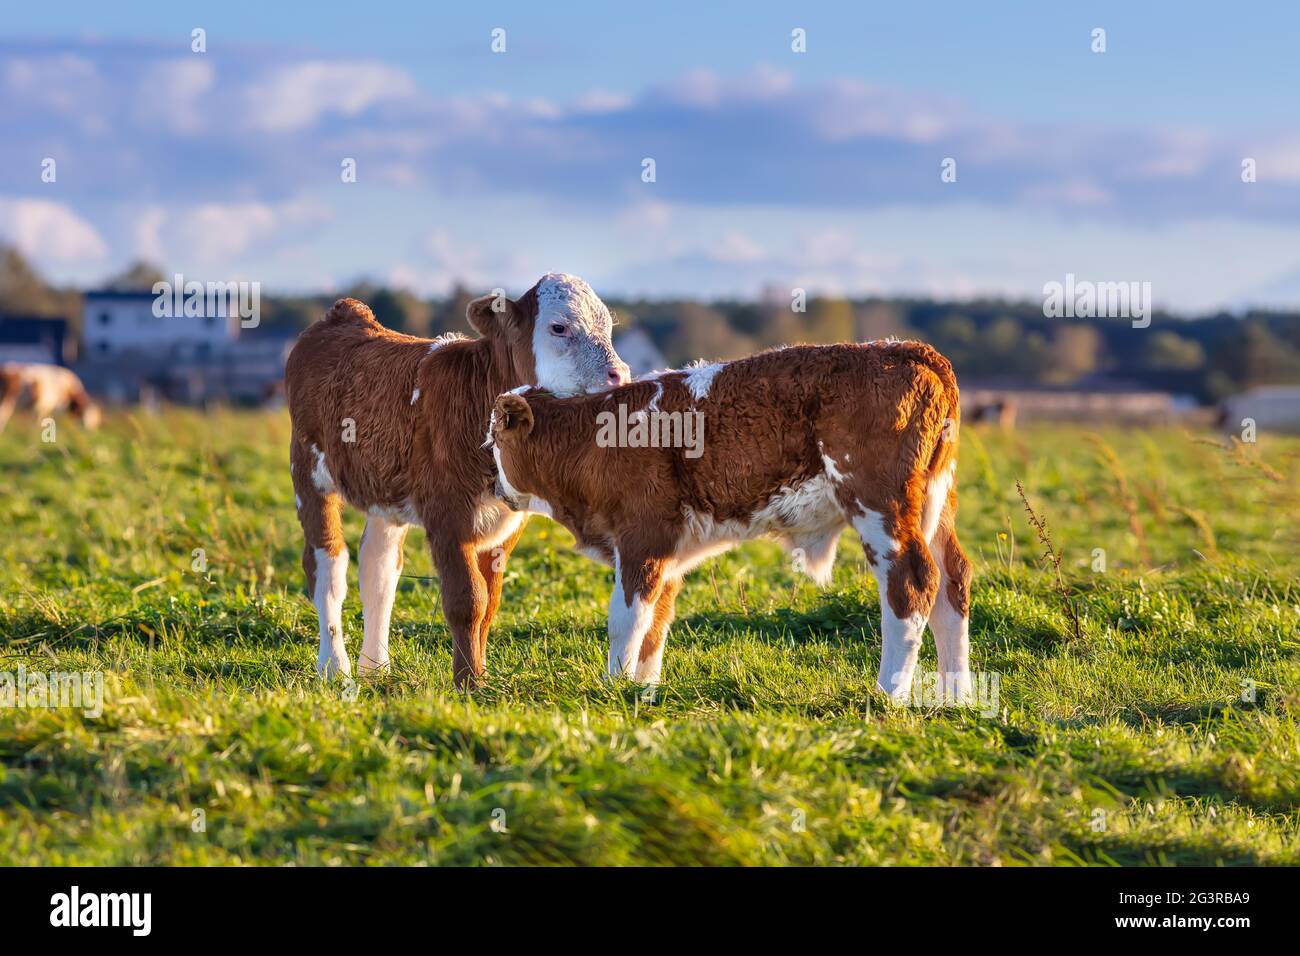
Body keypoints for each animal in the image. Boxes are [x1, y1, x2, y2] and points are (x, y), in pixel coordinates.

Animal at [285, 274, 630, 688]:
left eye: (607, 328)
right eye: (559, 327)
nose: (619, 374)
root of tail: (346, 312)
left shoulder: (506, 522)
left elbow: (490, 603)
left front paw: (480, 674)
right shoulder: (448, 513)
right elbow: (468, 601)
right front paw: (467, 682)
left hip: (385, 494)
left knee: (378, 569)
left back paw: (375, 668)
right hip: (308, 471)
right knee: (328, 568)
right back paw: (335, 668)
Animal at [486, 341, 973, 702]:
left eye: (493, 439)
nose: (493, 486)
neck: (591, 441)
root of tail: (906, 349)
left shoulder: (643, 535)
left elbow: (627, 618)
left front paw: (614, 686)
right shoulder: (669, 551)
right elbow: (655, 622)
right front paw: (642, 690)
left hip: (878, 504)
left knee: (912, 582)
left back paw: (888, 695)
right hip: (936, 502)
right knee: (952, 583)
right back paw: (957, 697)